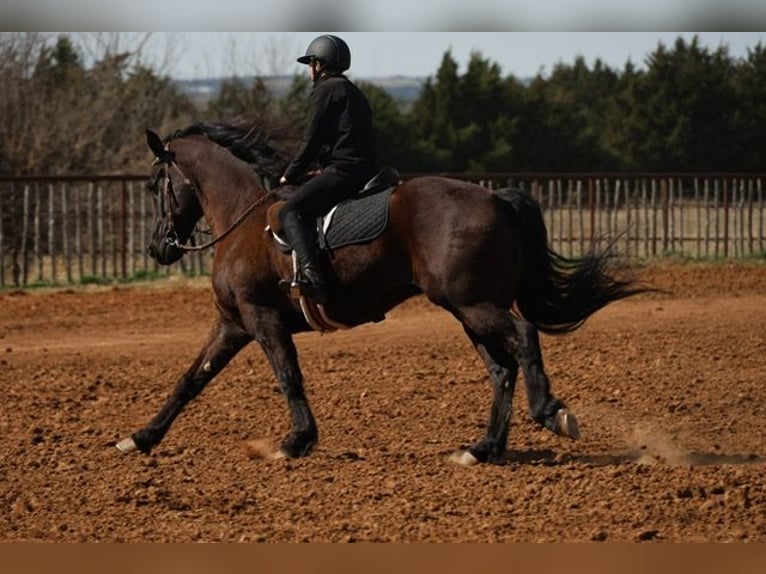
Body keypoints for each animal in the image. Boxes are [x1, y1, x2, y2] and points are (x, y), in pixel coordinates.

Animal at [116, 120, 645, 465]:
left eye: (154, 185)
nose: (157, 247)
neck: (242, 217)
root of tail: (496, 196)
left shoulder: (261, 317)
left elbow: (288, 376)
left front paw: (295, 442)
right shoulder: (233, 322)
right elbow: (190, 379)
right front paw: (141, 437)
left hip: (473, 304)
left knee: (524, 338)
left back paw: (549, 413)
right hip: (467, 309)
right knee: (502, 367)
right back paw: (482, 449)